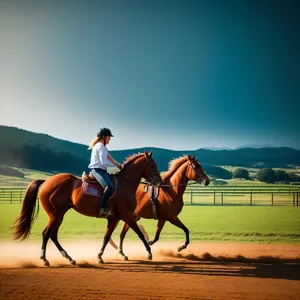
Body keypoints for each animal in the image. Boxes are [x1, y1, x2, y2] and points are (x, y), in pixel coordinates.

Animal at [12, 151, 162, 266]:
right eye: (153, 165)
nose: (159, 182)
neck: (125, 183)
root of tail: (47, 181)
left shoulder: (114, 219)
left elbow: (106, 237)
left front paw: (100, 256)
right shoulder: (127, 216)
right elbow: (139, 233)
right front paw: (149, 253)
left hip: (60, 214)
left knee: (53, 235)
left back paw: (69, 258)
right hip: (55, 214)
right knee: (46, 234)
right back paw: (44, 259)